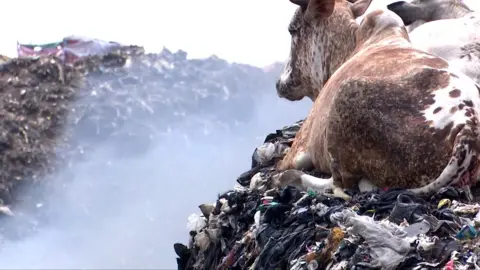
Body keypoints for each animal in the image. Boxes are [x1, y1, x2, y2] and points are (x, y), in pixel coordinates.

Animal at [272, 0, 480, 200]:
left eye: (293, 30)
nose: (279, 84)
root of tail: (468, 131)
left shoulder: (300, 146)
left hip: (347, 93)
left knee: (343, 183)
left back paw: (290, 178)